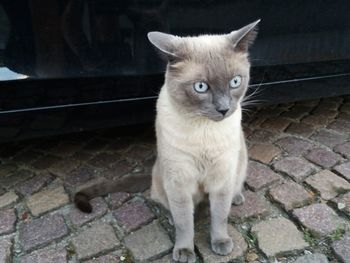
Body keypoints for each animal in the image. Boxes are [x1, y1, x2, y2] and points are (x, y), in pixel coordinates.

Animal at [74, 20, 260, 263]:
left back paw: (236, 198)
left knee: (231, 191)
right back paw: (172, 216)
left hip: (238, 165)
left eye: (235, 82)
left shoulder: (221, 179)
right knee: (168, 206)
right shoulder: (179, 182)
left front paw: (220, 244)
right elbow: (184, 224)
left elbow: (219, 216)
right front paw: (184, 252)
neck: (204, 132)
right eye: (201, 87)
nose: (224, 109)